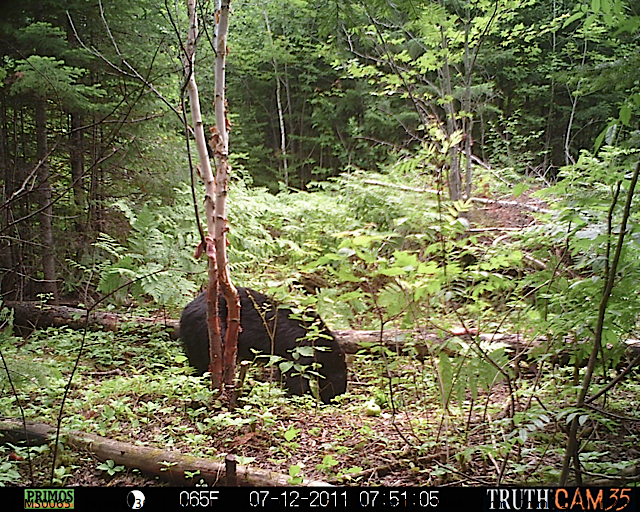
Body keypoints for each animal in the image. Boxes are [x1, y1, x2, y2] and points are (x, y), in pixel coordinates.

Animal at [180, 288, 348, 404]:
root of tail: (185, 311)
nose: (336, 399)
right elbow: (295, 377)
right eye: (339, 381)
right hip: (208, 330)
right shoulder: (299, 350)